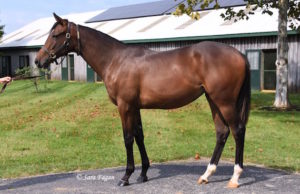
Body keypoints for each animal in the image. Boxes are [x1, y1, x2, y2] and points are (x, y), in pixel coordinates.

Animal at [35, 13, 251, 188]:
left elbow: (128, 138)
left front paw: (126, 177)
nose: (38, 60)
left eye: (55, 35)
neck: (116, 59)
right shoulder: (135, 107)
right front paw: (143, 174)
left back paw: (234, 178)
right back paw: (206, 175)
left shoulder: (125, 106)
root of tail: (240, 54)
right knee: (222, 133)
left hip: (224, 101)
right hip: (213, 100)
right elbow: (139, 136)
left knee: (237, 131)